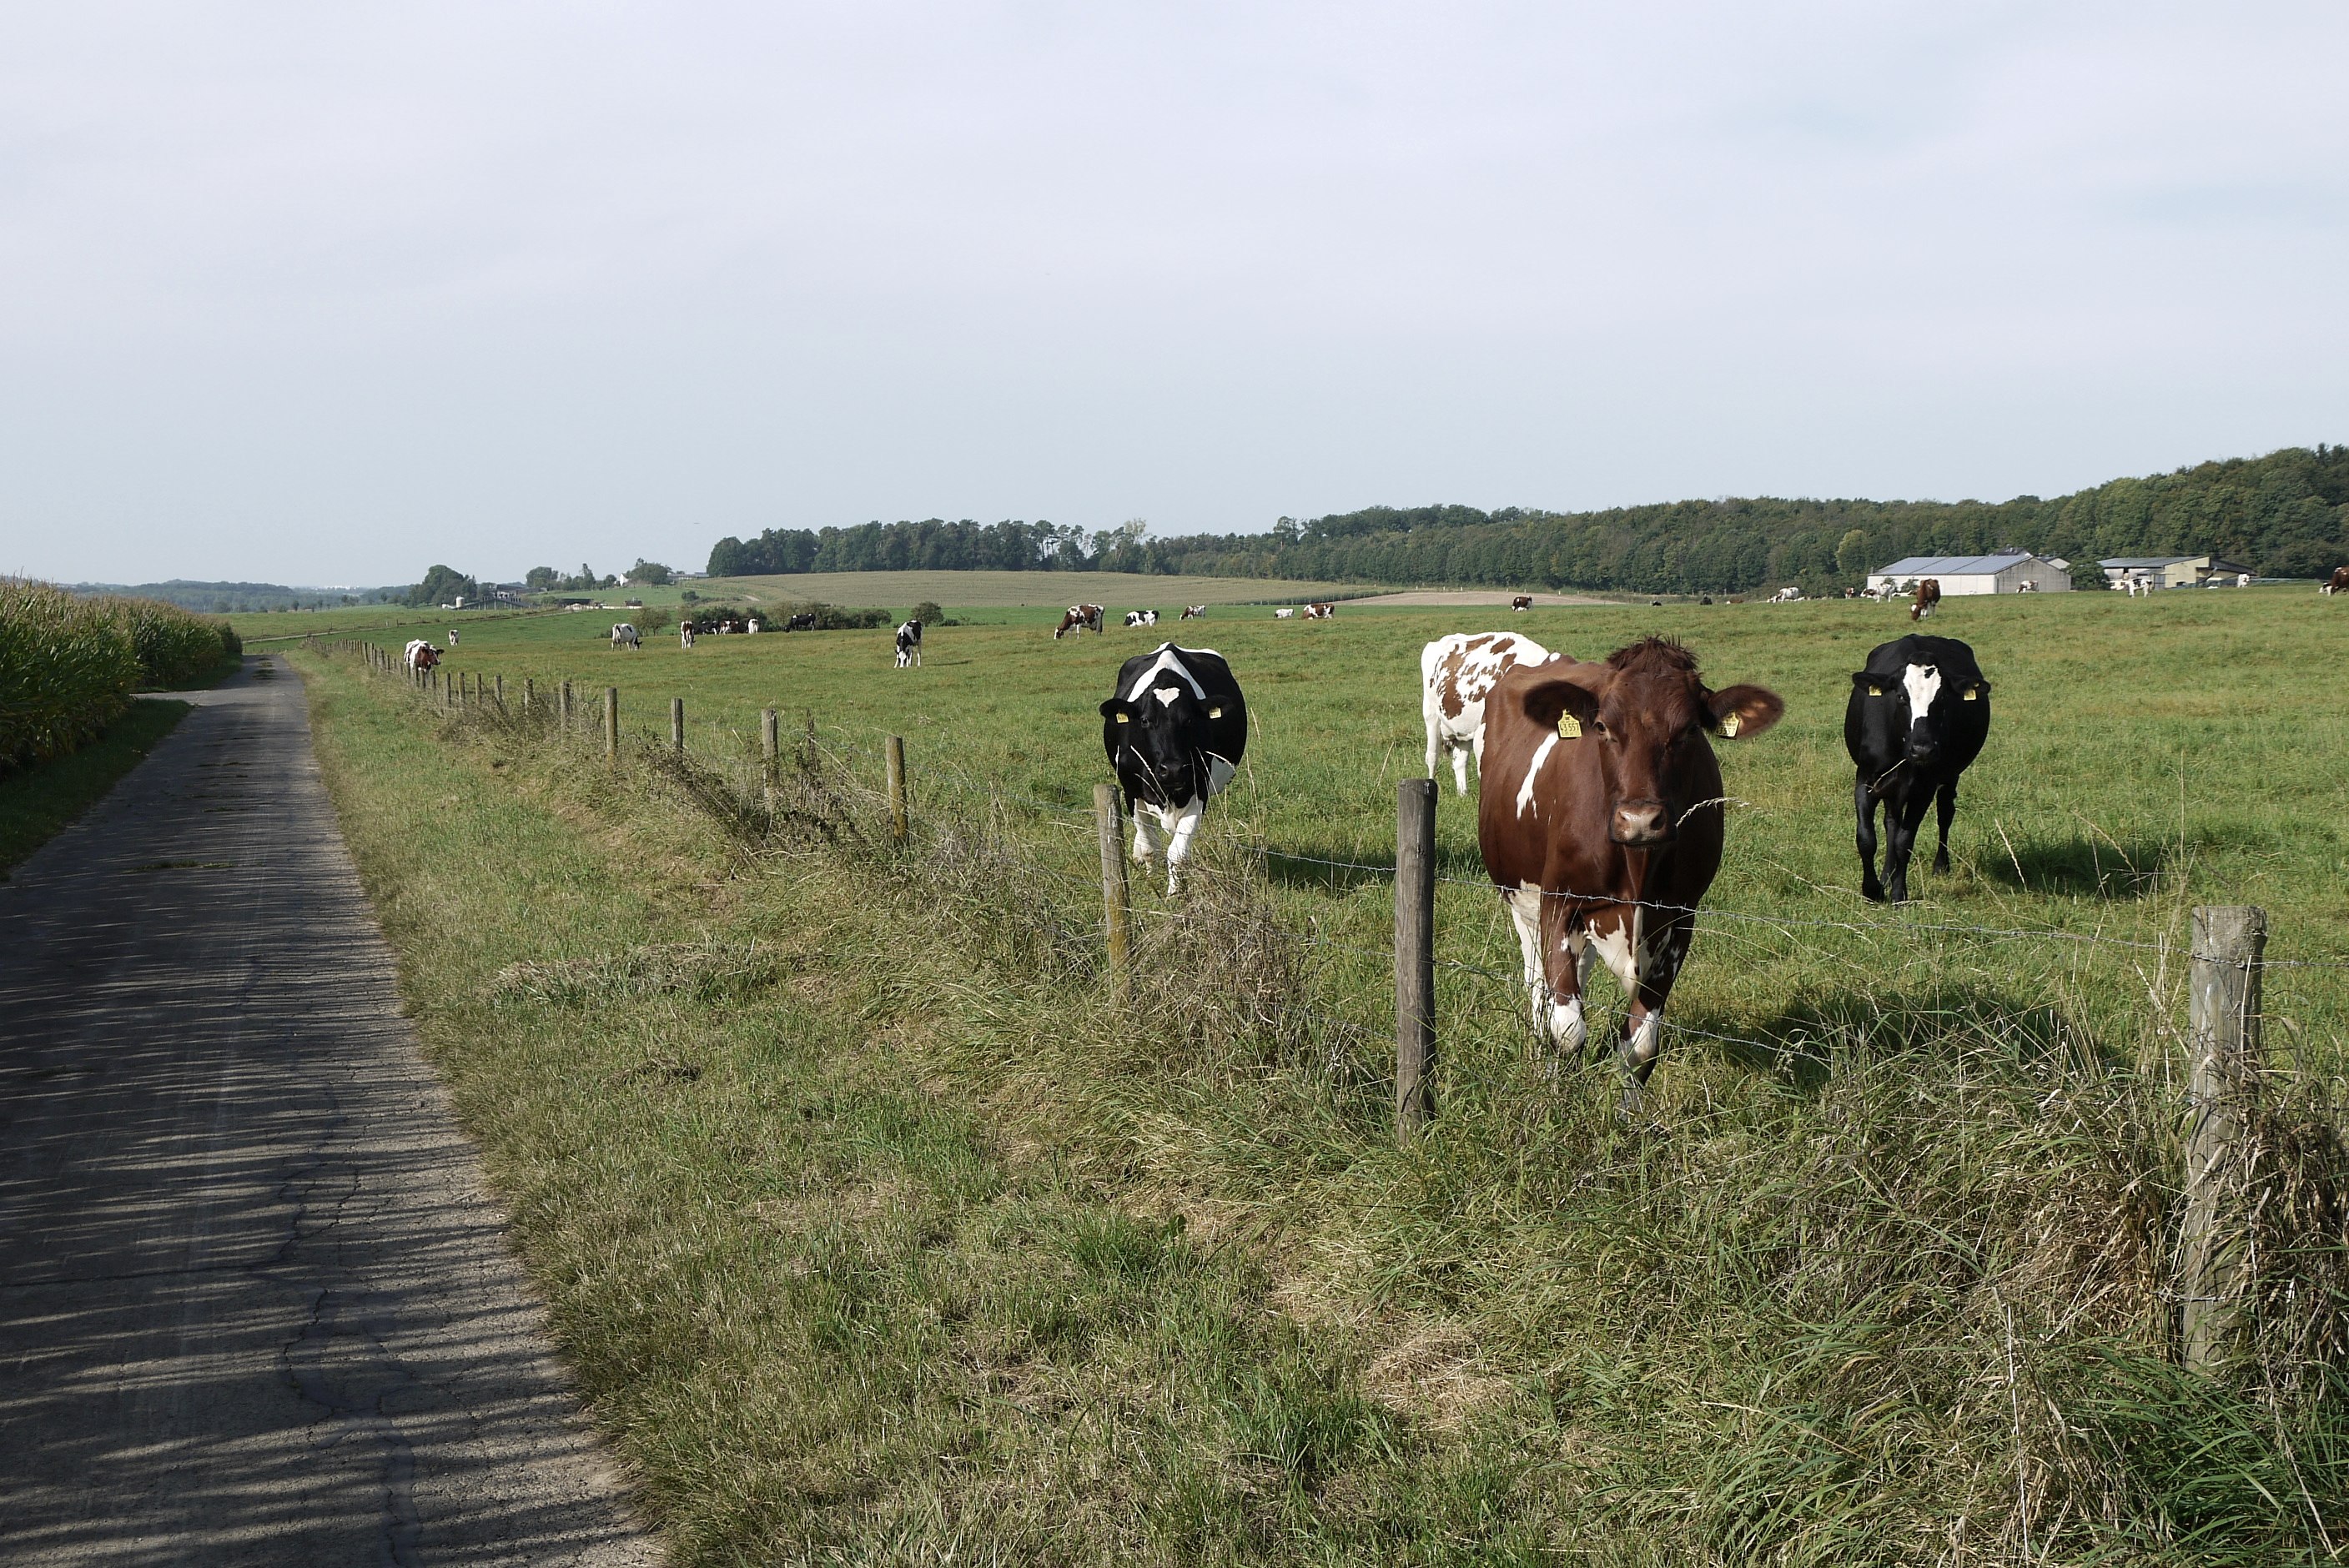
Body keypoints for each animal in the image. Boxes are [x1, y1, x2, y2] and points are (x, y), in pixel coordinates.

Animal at [1100, 643, 1247, 894]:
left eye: (1189, 720)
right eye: (1145, 720)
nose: (1173, 769)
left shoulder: (1198, 791)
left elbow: (1178, 852)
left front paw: (1175, 893)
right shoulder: (1131, 792)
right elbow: (1150, 846)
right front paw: (1152, 881)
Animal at [1477, 637, 1784, 1110]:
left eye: (1690, 730)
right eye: (1602, 726)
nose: (1640, 820)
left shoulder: (1680, 918)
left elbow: (1641, 1043)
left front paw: (1630, 1116)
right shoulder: (1557, 902)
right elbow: (1567, 1028)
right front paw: (1560, 1098)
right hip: (1520, 900)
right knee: (1539, 990)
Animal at [1847, 634, 1990, 904]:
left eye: (1942, 698)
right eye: (1901, 697)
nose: (1923, 749)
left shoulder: (1924, 788)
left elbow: (1904, 841)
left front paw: (1898, 894)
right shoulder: (1866, 779)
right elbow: (1867, 838)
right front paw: (1872, 889)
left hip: (1950, 776)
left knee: (1945, 814)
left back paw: (1940, 866)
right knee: (1891, 821)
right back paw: (1886, 874)